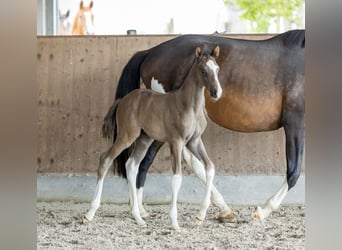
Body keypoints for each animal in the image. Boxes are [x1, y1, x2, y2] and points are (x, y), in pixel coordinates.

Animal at [83, 46, 222, 229]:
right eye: (204, 70)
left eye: (217, 69)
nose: (216, 93)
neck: (189, 105)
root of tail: (123, 100)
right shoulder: (176, 142)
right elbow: (177, 178)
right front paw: (175, 223)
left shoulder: (194, 142)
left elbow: (210, 167)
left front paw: (200, 216)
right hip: (127, 136)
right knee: (105, 159)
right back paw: (90, 213)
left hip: (144, 140)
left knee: (131, 165)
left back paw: (138, 217)